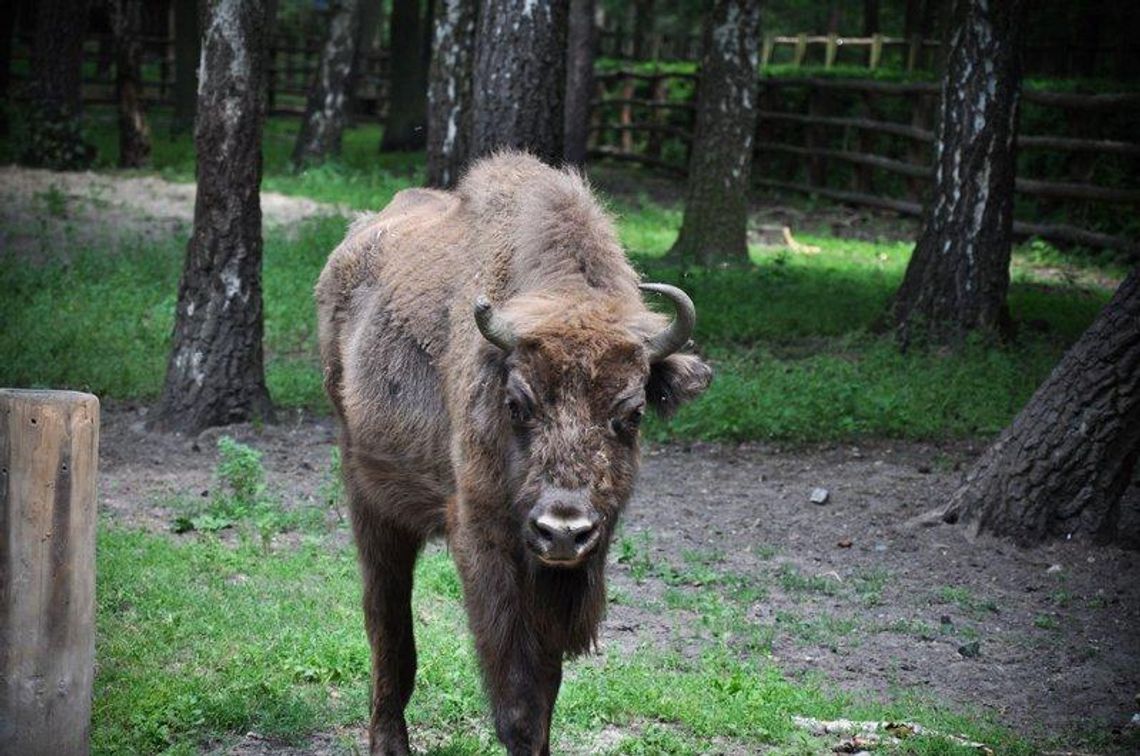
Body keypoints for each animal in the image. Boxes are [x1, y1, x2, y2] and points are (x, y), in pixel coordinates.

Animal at [319, 150, 711, 752]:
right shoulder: (486, 546)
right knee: (387, 624)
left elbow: (546, 692)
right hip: (369, 496)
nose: (563, 530)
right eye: (517, 404)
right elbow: (519, 700)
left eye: (633, 413)